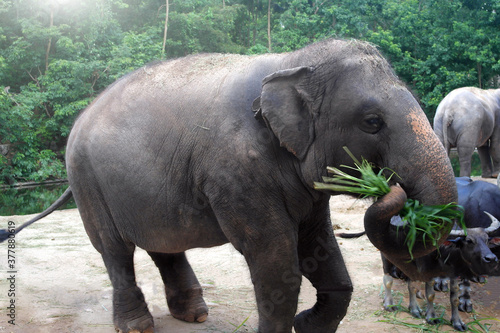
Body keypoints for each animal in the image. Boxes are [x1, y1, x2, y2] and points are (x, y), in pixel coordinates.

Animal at [5, 39, 458, 332]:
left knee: (163, 244)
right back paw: (137, 326)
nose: (390, 187)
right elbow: (277, 262)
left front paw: (307, 323)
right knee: (114, 249)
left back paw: (195, 315)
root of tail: (82, 115)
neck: (294, 62)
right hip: (87, 181)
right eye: (372, 122)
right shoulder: (236, 170)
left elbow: (318, 247)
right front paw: (293, 319)